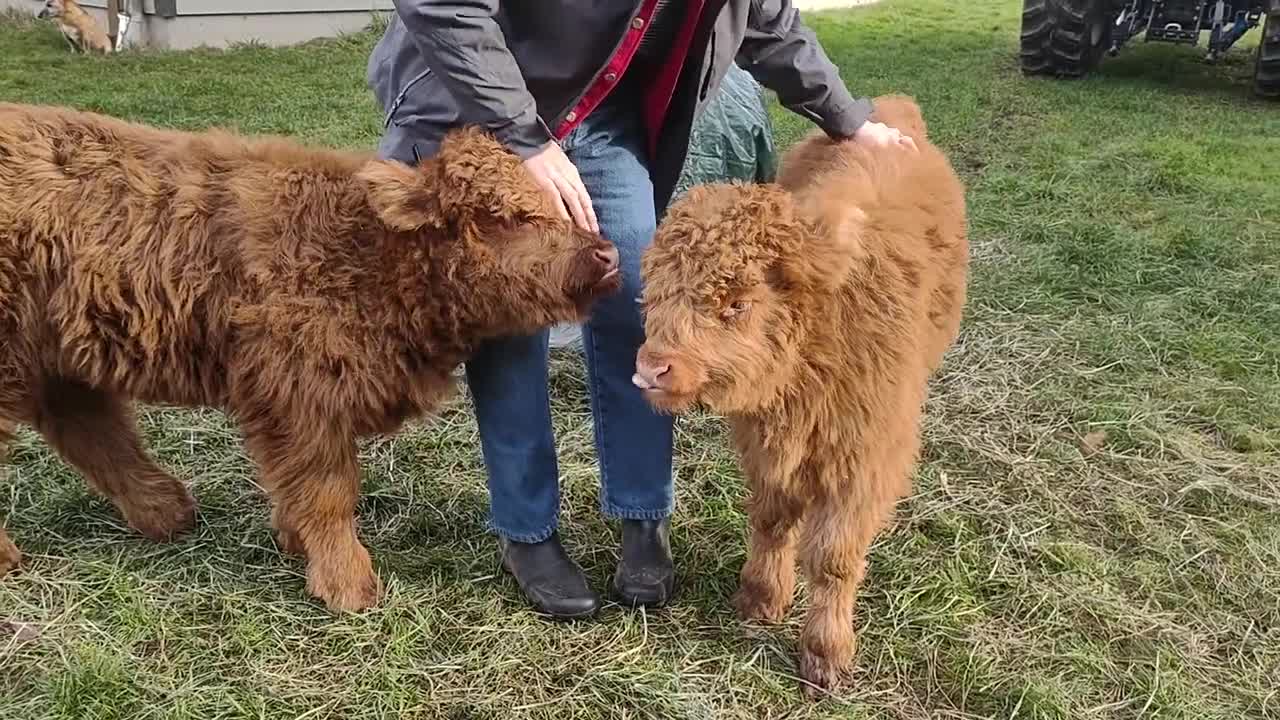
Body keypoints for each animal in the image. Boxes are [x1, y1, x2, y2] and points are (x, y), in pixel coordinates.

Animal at [0, 99, 619, 604]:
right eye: (502, 216)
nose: (607, 254)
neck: (365, 255)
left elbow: (296, 487)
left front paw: (293, 541)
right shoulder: (300, 398)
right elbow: (328, 491)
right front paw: (348, 584)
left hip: (56, 358)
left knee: (90, 430)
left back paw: (165, 513)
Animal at [634, 95, 962, 691]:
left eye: (736, 303)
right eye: (656, 291)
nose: (652, 369)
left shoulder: (861, 461)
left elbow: (833, 559)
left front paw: (825, 653)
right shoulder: (766, 449)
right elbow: (771, 521)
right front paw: (761, 598)